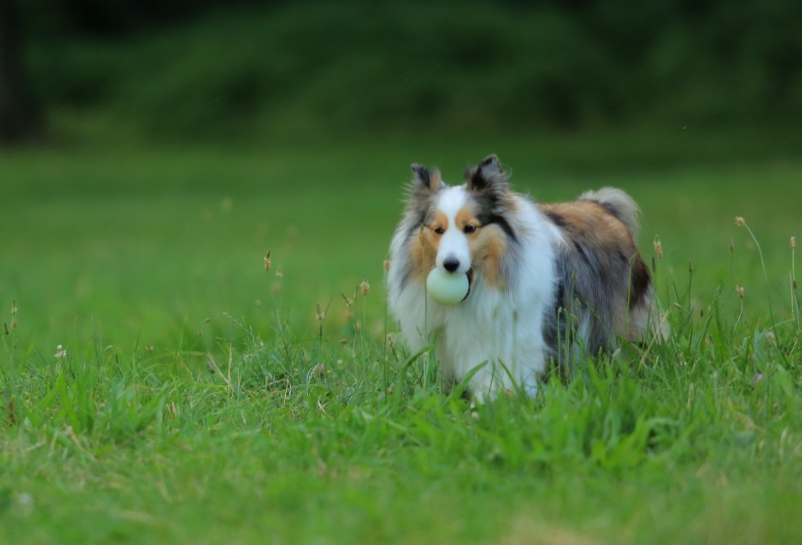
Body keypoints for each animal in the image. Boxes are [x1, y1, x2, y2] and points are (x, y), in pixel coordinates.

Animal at [384, 153, 660, 400]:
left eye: (470, 228)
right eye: (438, 230)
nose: (450, 265)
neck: (482, 286)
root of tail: (602, 205)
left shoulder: (516, 337)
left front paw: (496, 399)